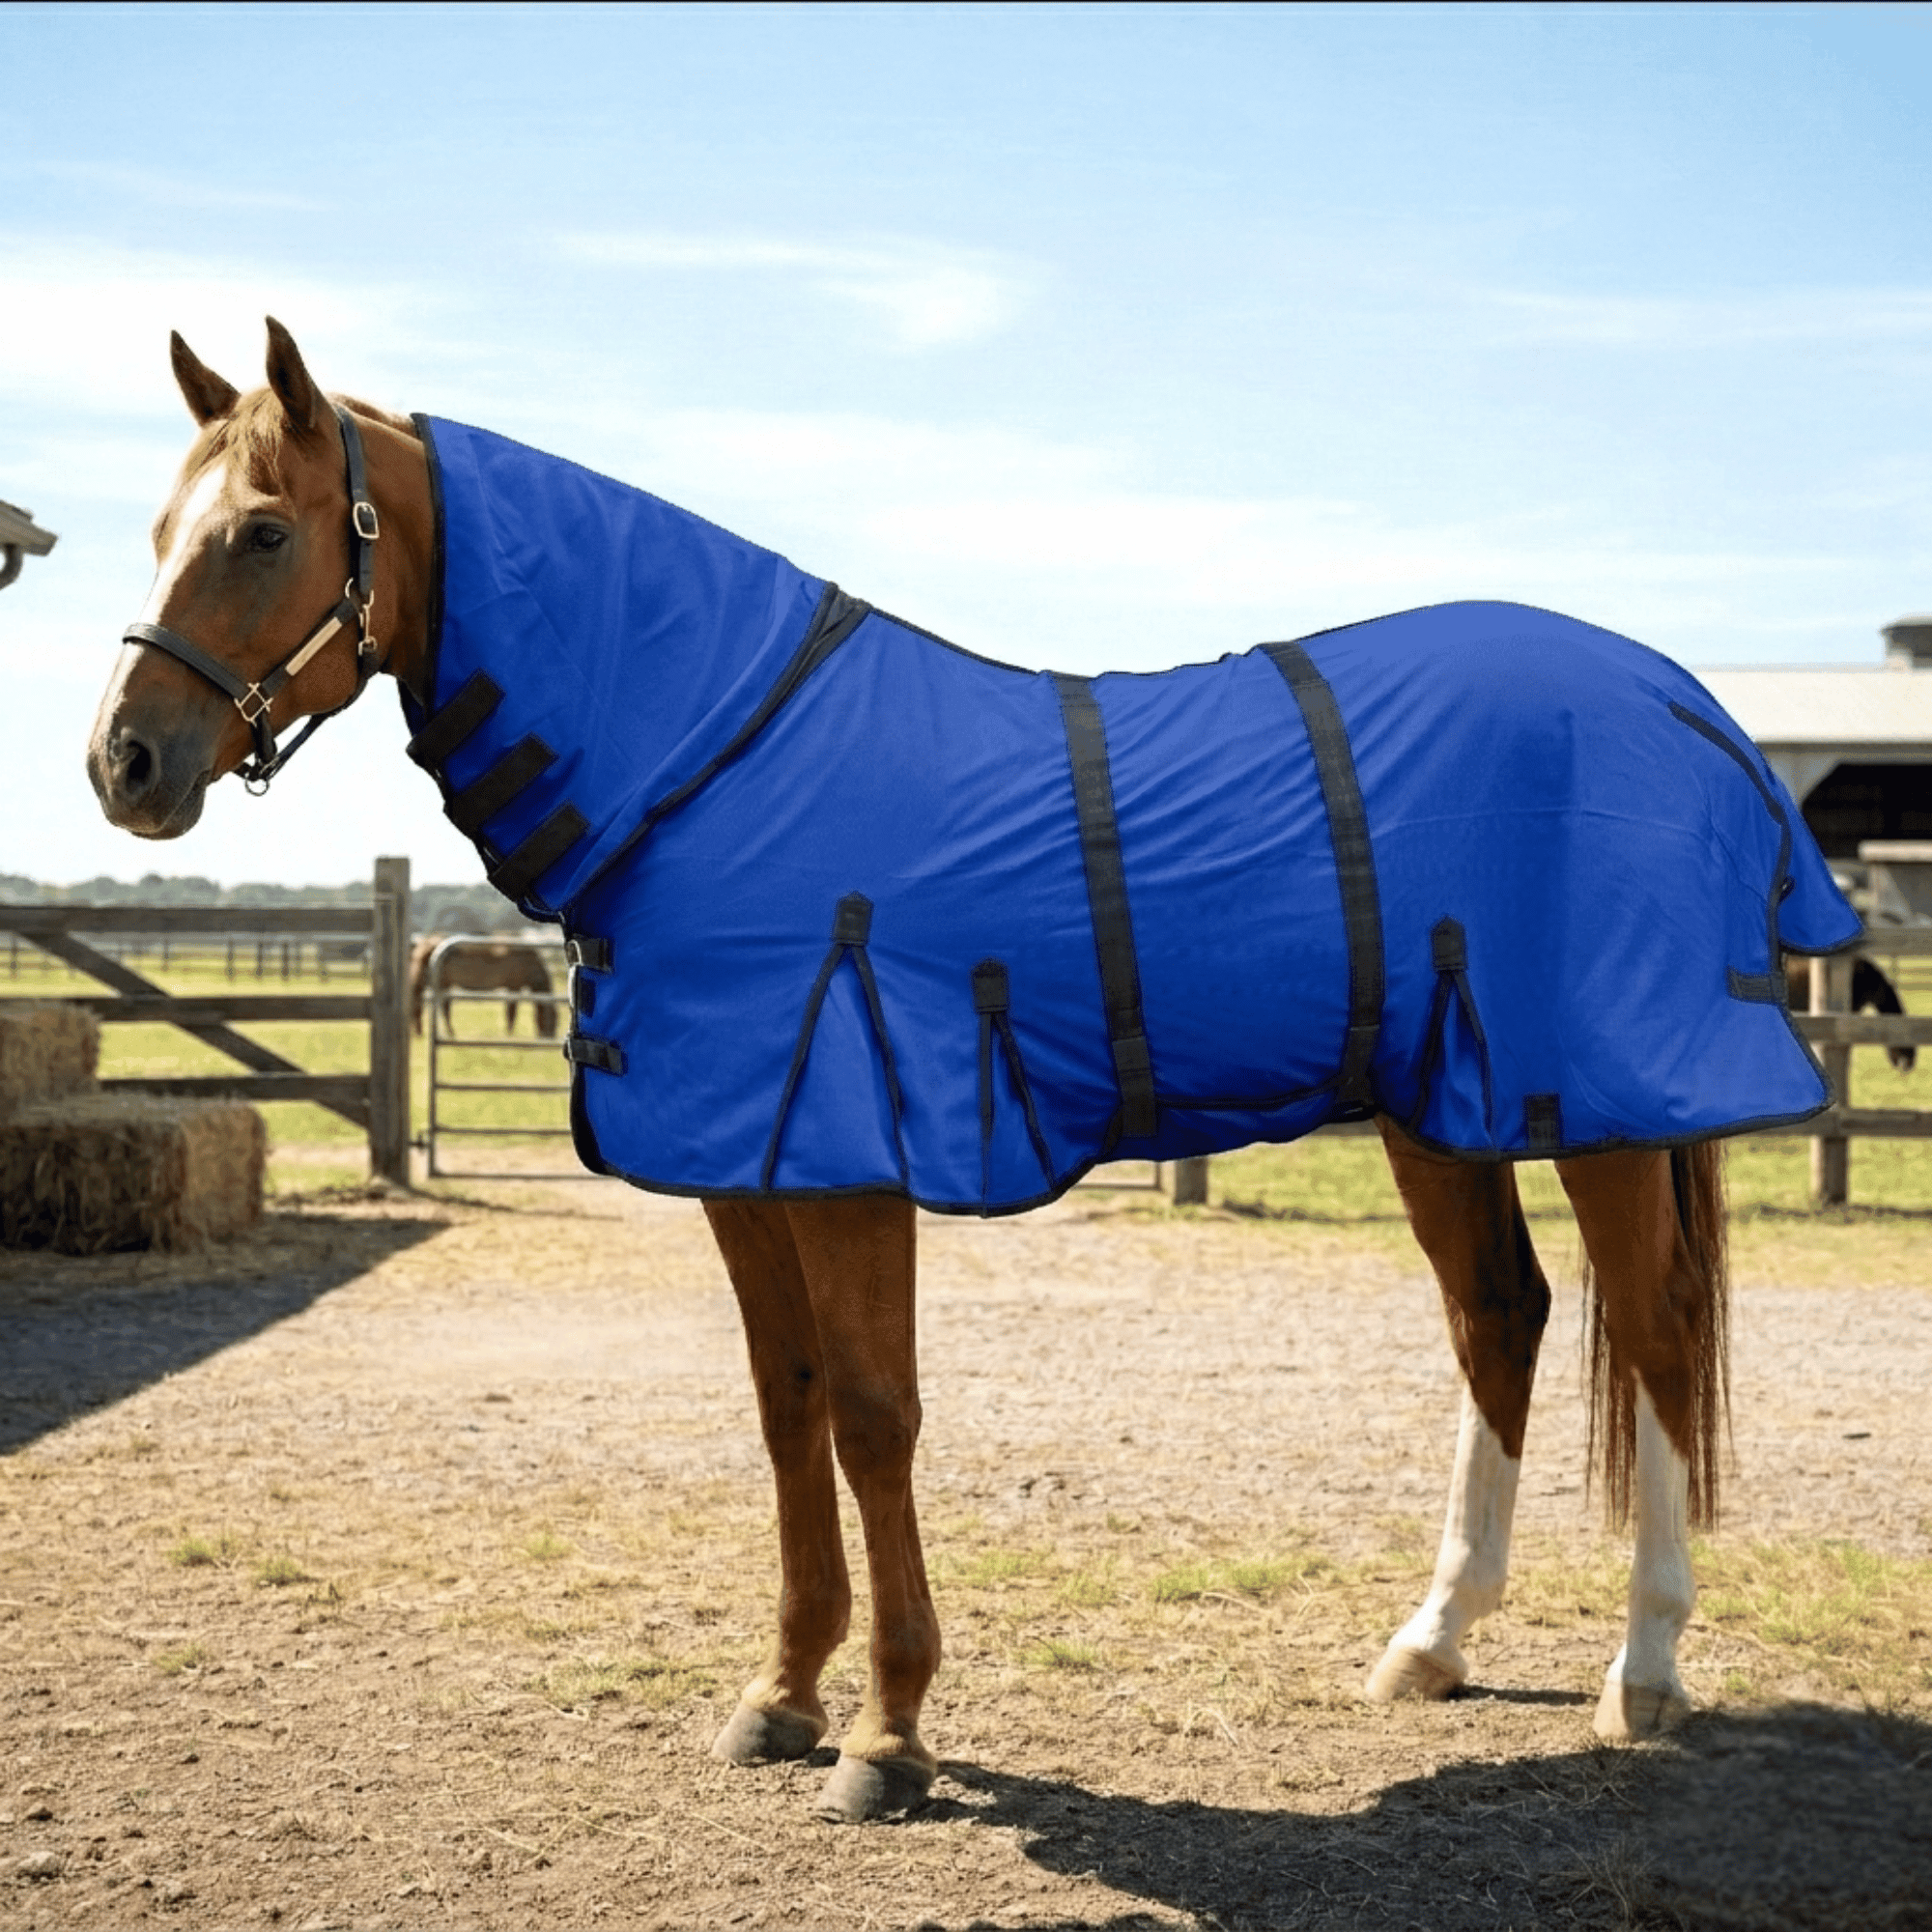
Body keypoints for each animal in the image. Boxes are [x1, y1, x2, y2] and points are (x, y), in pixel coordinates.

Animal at [408, 933, 557, 1038]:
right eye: (553, 1017)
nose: (549, 1036)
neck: (527, 960)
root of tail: (426, 943)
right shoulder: (513, 988)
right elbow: (511, 1012)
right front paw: (510, 1034)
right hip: (442, 985)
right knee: (440, 1009)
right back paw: (448, 1033)